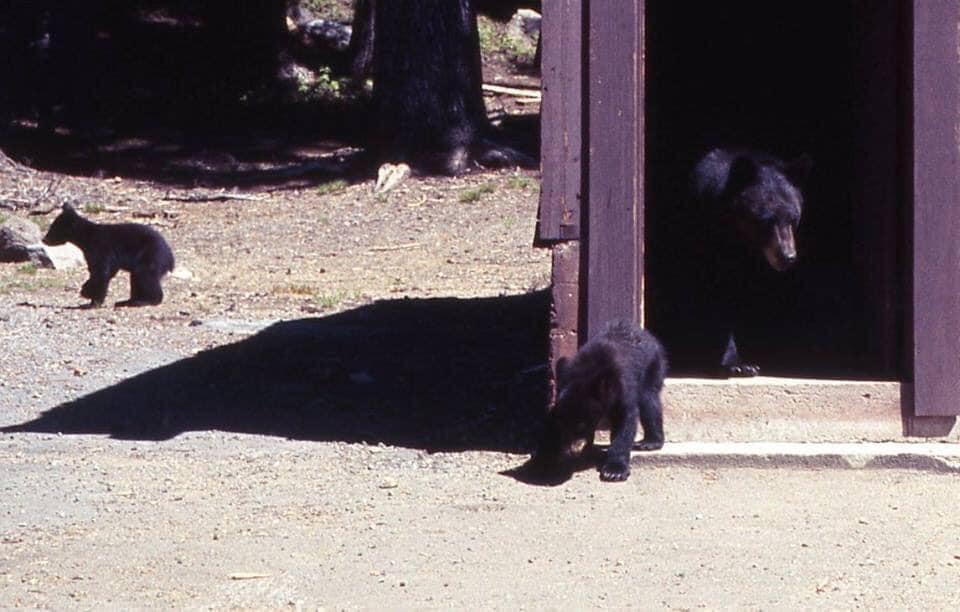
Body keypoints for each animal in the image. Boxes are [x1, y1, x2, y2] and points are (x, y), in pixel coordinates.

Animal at [43, 204, 176, 308]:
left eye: (53, 228)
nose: (44, 239)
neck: (86, 237)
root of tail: (170, 257)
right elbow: (105, 271)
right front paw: (88, 293)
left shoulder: (101, 248)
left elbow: (102, 271)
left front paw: (90, 298)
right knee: (136, 278)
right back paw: (127, 301)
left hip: (151, 255)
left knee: (145, 276)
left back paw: (143, 301)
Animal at [532, 320, 668, 482]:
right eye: (564, 424)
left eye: (582, 424)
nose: (573, 450)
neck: (588, 373)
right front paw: (545, 457)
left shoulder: (622, 387)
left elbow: (625, 421)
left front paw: (614, 470)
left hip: (652, 365)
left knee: (649, 401)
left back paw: (649, 442)